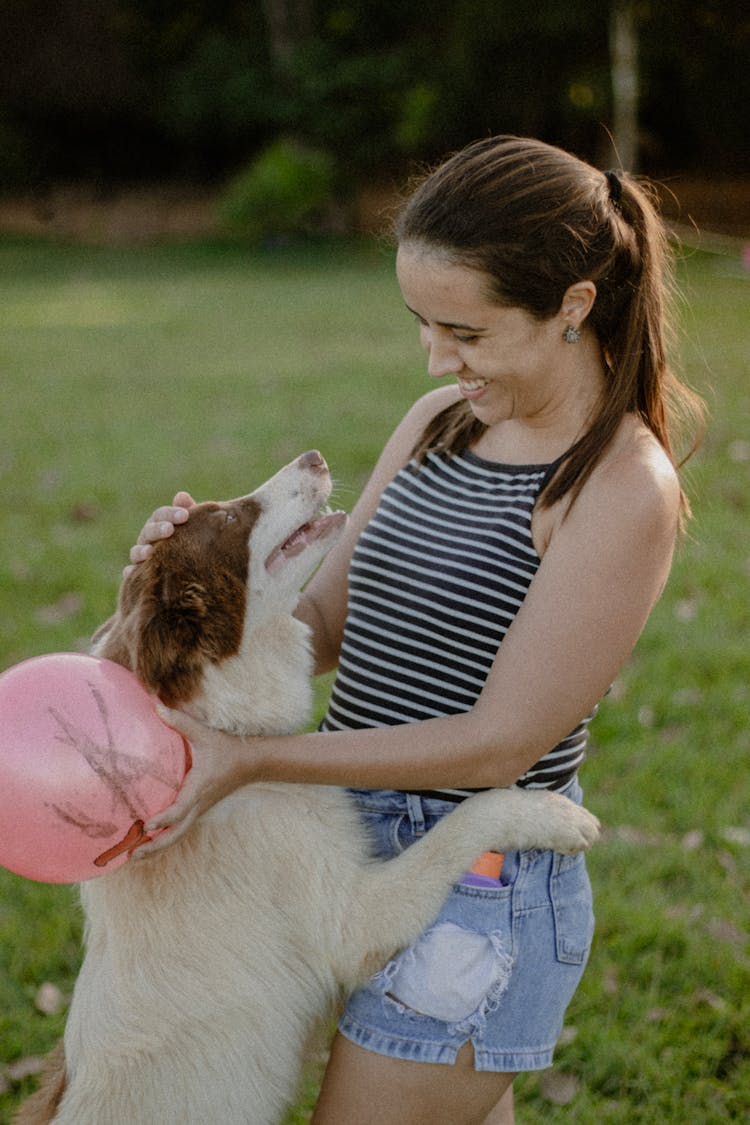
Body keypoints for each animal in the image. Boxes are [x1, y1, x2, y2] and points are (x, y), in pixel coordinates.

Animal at [17, 450, 602, 1125]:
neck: (217, 729)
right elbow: (463, 825)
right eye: (230, 517)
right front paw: (553, 815)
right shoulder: (354, 922)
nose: (314, 457)